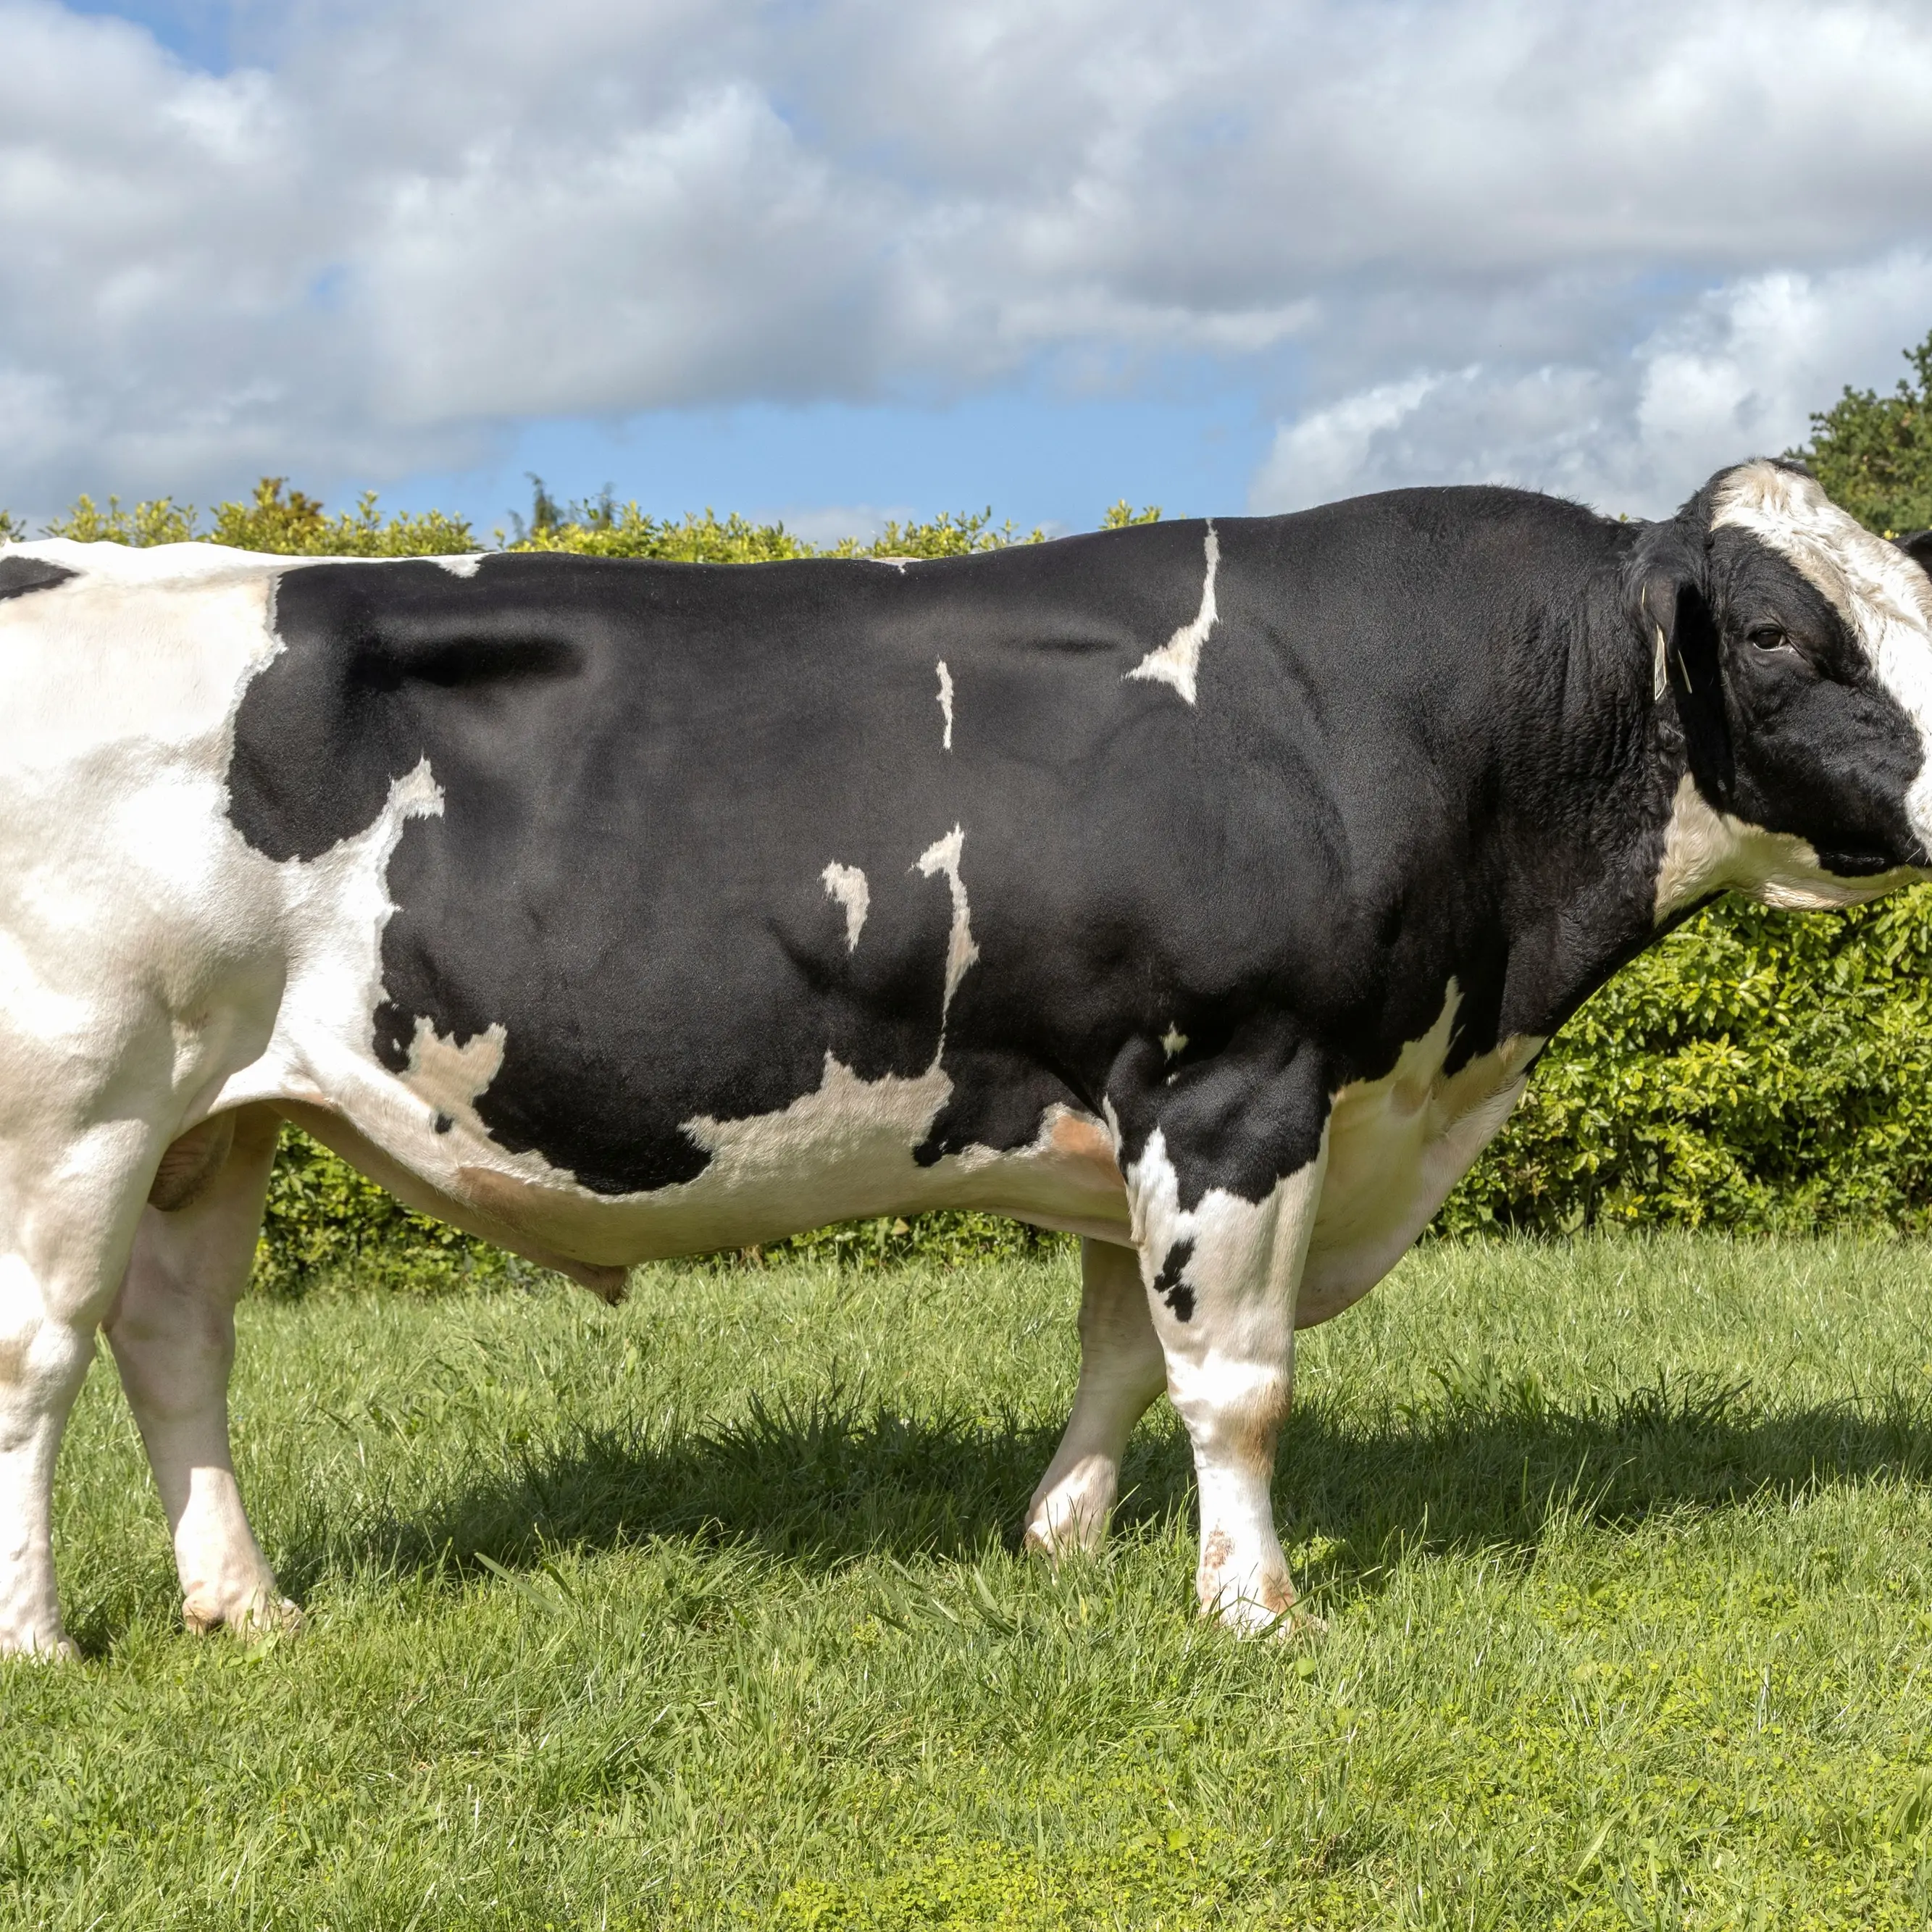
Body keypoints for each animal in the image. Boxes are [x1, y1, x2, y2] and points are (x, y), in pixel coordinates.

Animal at [1, 457, 1929, 1659]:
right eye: (1776, 633)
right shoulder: (1237, 1080)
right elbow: (1236, 1380)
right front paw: (1257, 1611)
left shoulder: (1144, 1102)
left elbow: (1121, 1353)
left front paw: (1060, 1544)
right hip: (78, 1104)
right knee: (41, 1357)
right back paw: (41, 1640)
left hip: (215, 1117)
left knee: (175, 1347)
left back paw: (246, 1607)